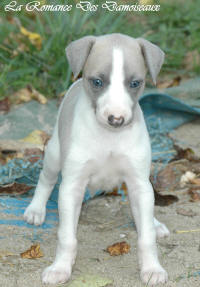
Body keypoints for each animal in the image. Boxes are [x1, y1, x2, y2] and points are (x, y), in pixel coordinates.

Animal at [24, 33, 170, 286]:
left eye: (135, 83)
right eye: (97, 82)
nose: (116, 119)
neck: (109, 137)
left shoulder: (139, 184)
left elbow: (146, 237)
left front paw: (152, 268)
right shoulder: (71, 186)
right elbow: (67, 237)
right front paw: (60, 268)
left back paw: (154, 223)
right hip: (54, 154)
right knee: (45, 180)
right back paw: (36, 210)